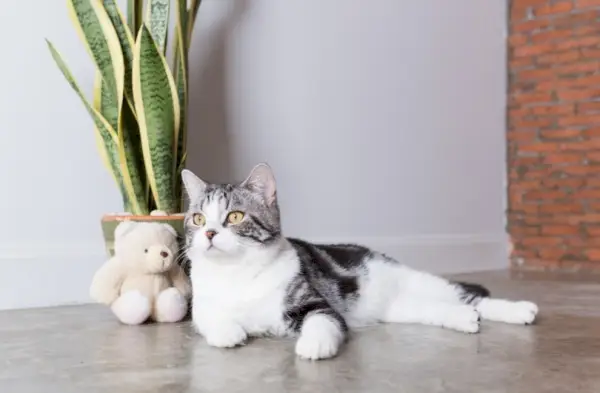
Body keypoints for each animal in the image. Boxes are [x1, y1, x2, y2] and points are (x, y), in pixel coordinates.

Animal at [182, 162, 540, 358]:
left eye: (235, 216)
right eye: (198, 219)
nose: (209, 233)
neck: (236, 273)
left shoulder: (315, 301)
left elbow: (323, 321)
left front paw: (314, 346)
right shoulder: (202, 304)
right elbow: (208, 318)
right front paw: (228, 332)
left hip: (416, 280)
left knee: (469, 295)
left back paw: (519, 310)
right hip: (398, 308)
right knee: (433, 308)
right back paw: (463, 319)